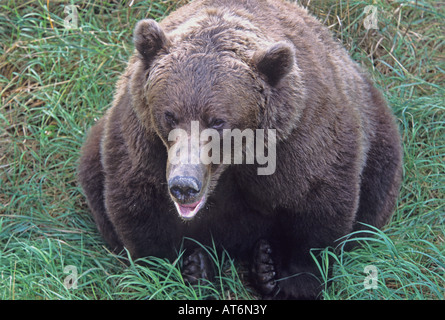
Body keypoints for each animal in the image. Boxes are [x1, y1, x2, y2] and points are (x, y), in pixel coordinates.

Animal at [77, 0, 402, 300]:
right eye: (170, 115)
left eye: (218, 121)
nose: (184, 185)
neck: (233, 165)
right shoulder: (144, 144)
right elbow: (140, 209)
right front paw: (181, 271)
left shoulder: (299, 140)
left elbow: (316, 204)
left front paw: (292, 281)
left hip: (379, 134)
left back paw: (264, 266)